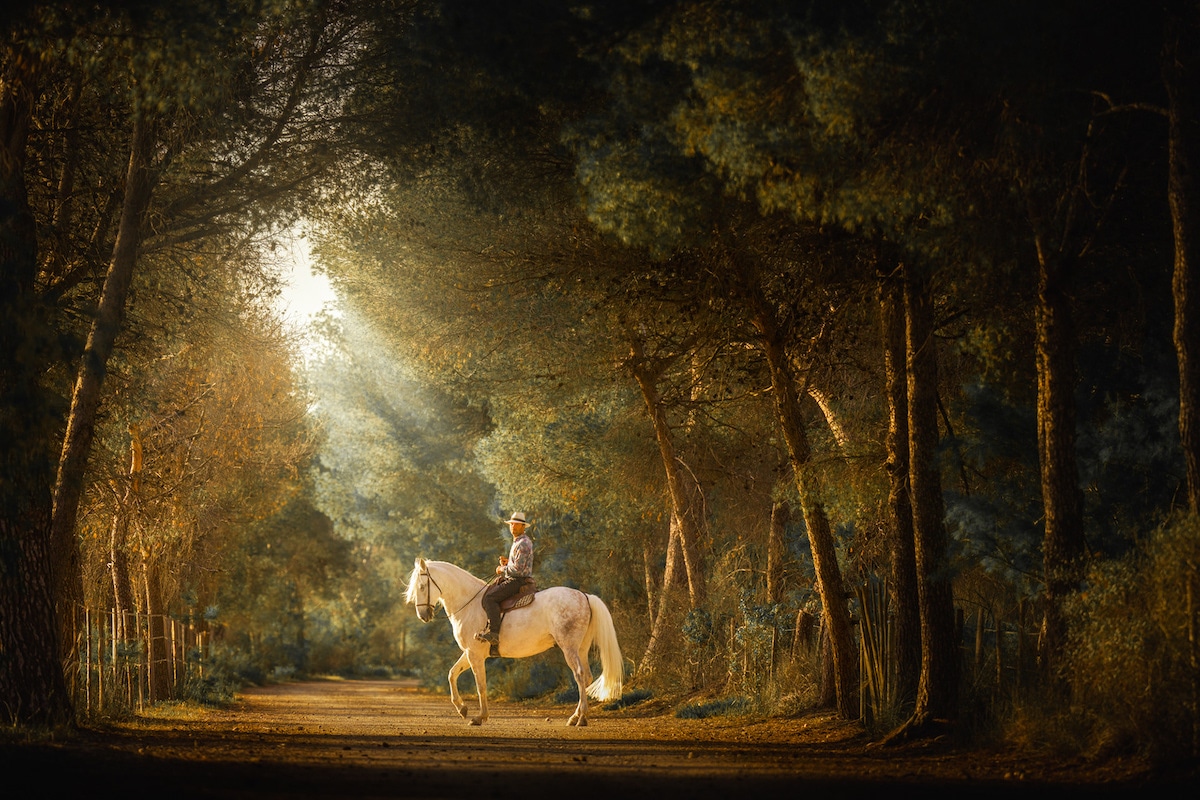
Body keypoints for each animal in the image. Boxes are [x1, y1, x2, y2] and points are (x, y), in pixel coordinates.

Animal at [408, 561, 624, 729]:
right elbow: (452, 674)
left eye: (422, 586)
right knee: (586, 677)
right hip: (581, 648)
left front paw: (480, 717)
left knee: (579, 675)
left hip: (569, 648)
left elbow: (481, 685)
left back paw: (581, 718)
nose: (423, 615)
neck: (469, 603)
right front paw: (462, 709)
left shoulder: (474, 655)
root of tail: (585, 596)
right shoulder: (470, 653)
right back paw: (575, 717)